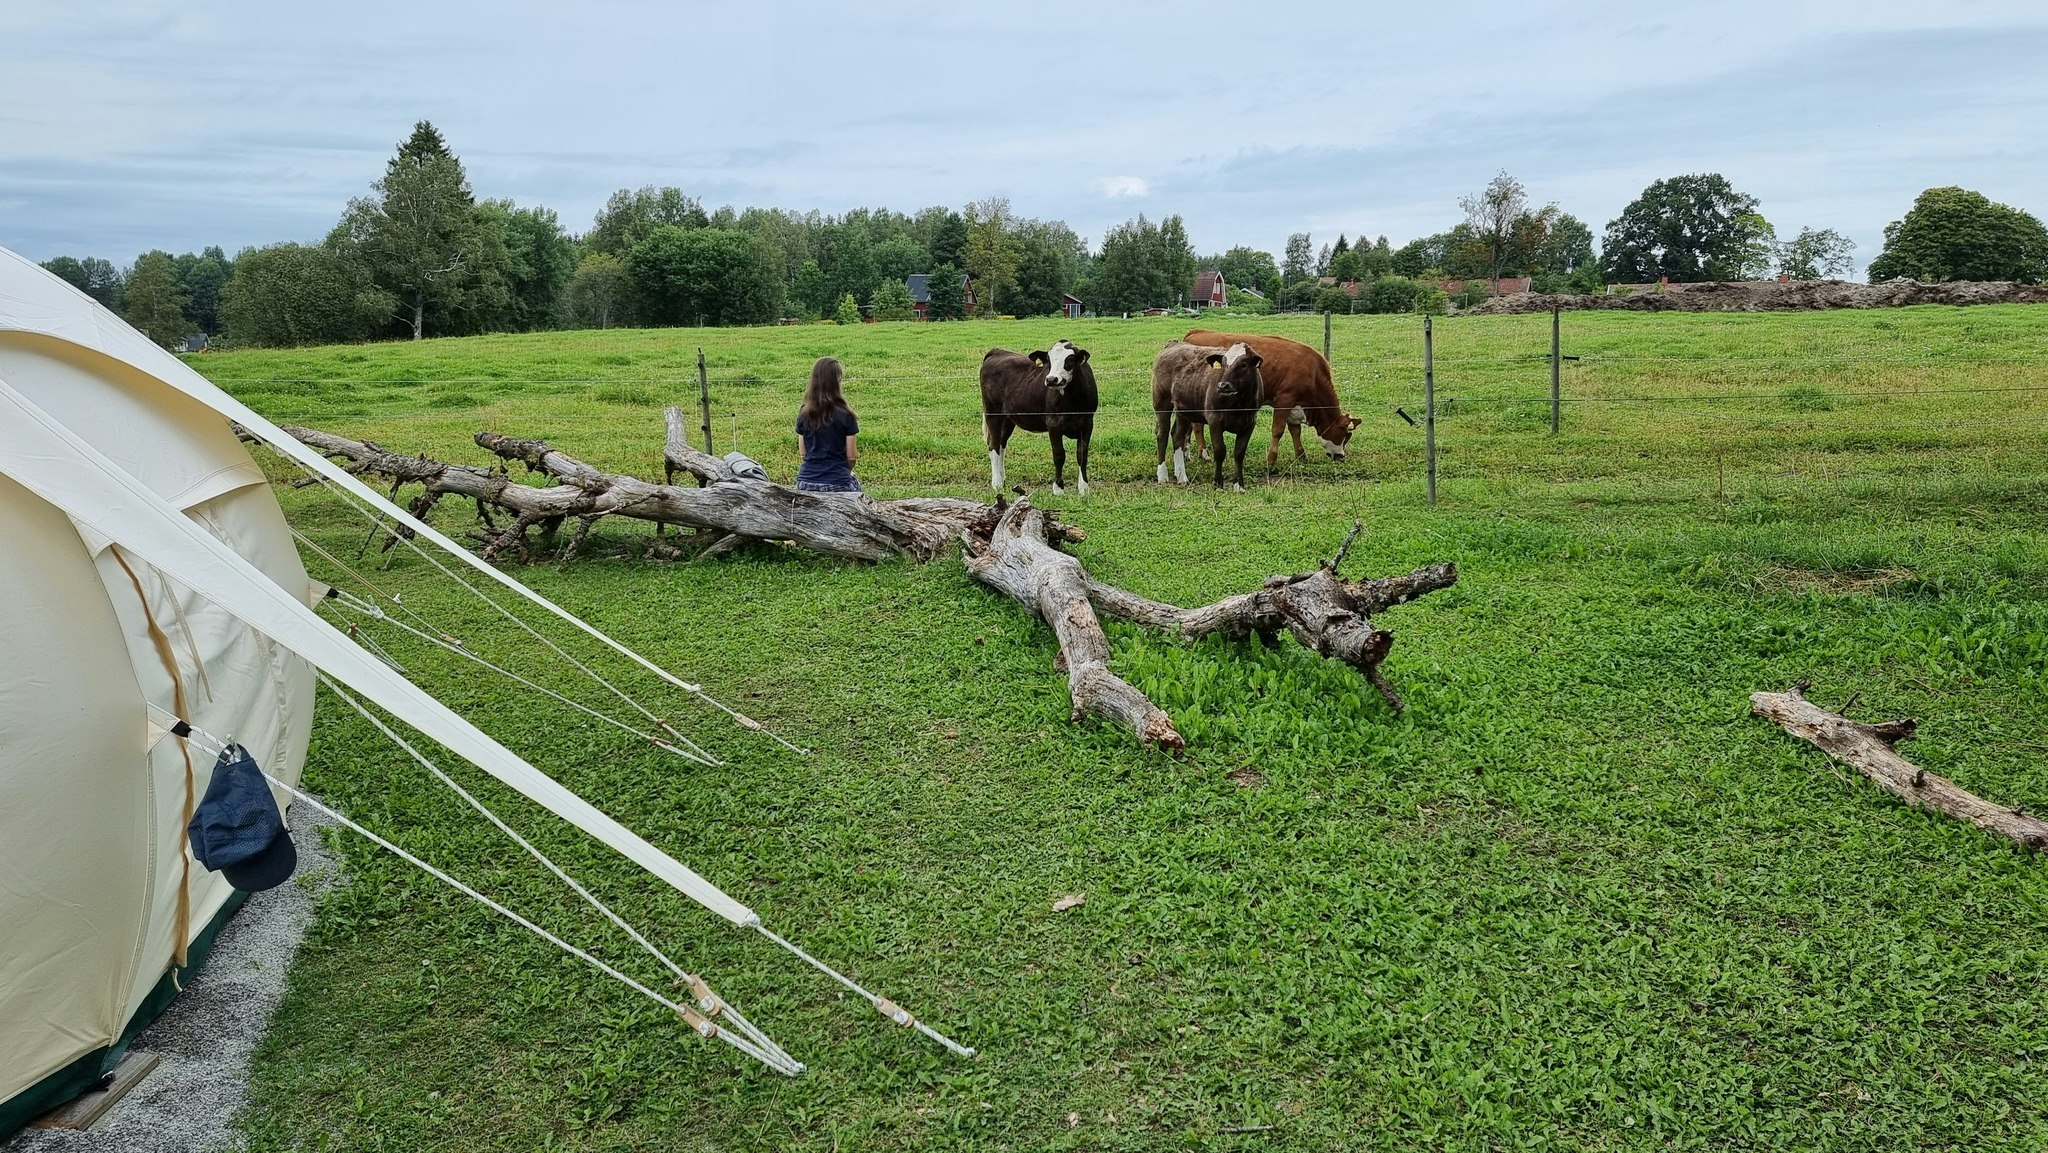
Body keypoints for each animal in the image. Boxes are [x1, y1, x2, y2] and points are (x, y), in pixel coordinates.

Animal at [978, 335, 1097, 493]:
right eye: (1048, 361)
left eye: (1070, 360)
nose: (1051, 379)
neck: (1073, 401)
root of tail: (997, 351)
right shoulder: (1053, 423)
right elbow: (1059, 455)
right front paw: (1058, 489)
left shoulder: (1087, 423)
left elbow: (1082, 454)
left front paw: (1084, 488)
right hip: (992, 413)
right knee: (994, 445)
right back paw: (996, 483)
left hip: (1008, 418)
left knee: (1002, 444)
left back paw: (1003, 479)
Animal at [1155, 339, 1261, 489]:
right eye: (1223, 364)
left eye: (1244, 365)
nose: (1223, 386)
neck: (1239, 404)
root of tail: (1174, 344)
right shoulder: (1214, 420)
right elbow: (1219, 450)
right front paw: (1218, 483)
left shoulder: (1249, 423)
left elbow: (1239, 453)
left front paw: (1239, 485)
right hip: (1161, 403)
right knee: (1162, 435)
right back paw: (1162, 475)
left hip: (1183, 411)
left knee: (1177, 437)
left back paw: (1181, 476)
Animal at [1187, 327, 1359, 466]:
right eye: (1347, 435)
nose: (1341, 457)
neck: (1312, 373)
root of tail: (1197, 331)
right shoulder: (1284, 399)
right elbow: (1278, 431)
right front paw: (1271, 460)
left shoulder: (1294, 405)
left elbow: (1295, 431)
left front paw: (1301, 456)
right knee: (1197, 426)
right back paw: (1204, 454)